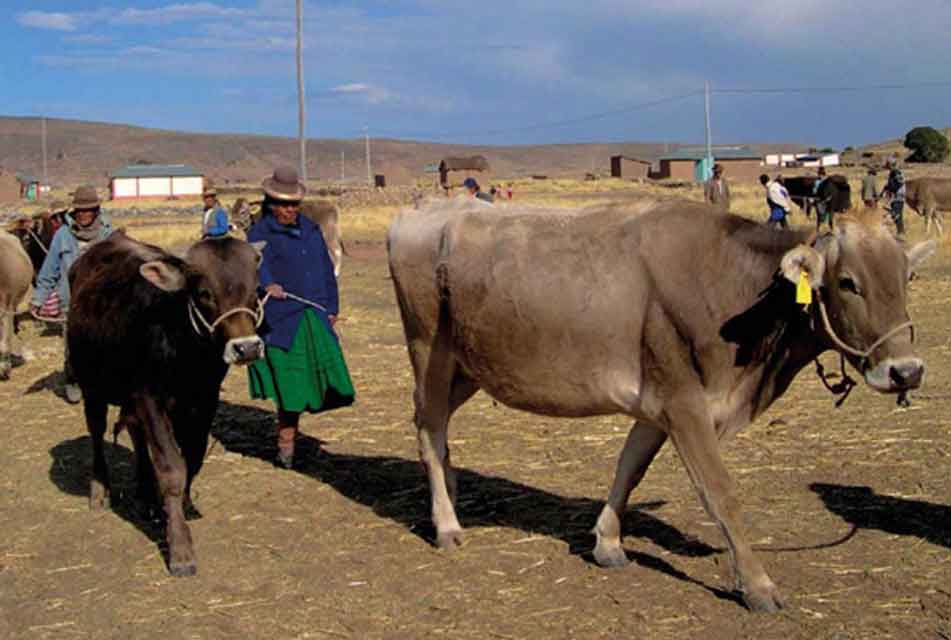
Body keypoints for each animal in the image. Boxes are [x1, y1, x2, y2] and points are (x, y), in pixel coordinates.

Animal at [68, 232, 264, 576]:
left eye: (255, 290)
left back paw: (146, 496)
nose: (247, 348)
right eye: (204, 293)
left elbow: (193, 459)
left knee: (135, 434)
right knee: (97, 432)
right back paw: (99, 490)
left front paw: (182, 507)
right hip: (92, 387)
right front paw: (180, 548)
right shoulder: (150, 399)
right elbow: (172, 469)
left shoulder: (203, 402)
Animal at [388, 198, 936, 612]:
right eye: (848, 282)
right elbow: (721, 493)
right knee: (429, 431)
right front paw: (758, 585)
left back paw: (452, 494)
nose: (906, 371)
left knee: (436, 428)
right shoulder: (684, 403)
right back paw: (447, 524)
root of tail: (422, 210)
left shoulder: (658, 404)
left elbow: (630, 468)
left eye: (906, 277)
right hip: (430, 352)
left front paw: (607, 542)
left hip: (469, 366)